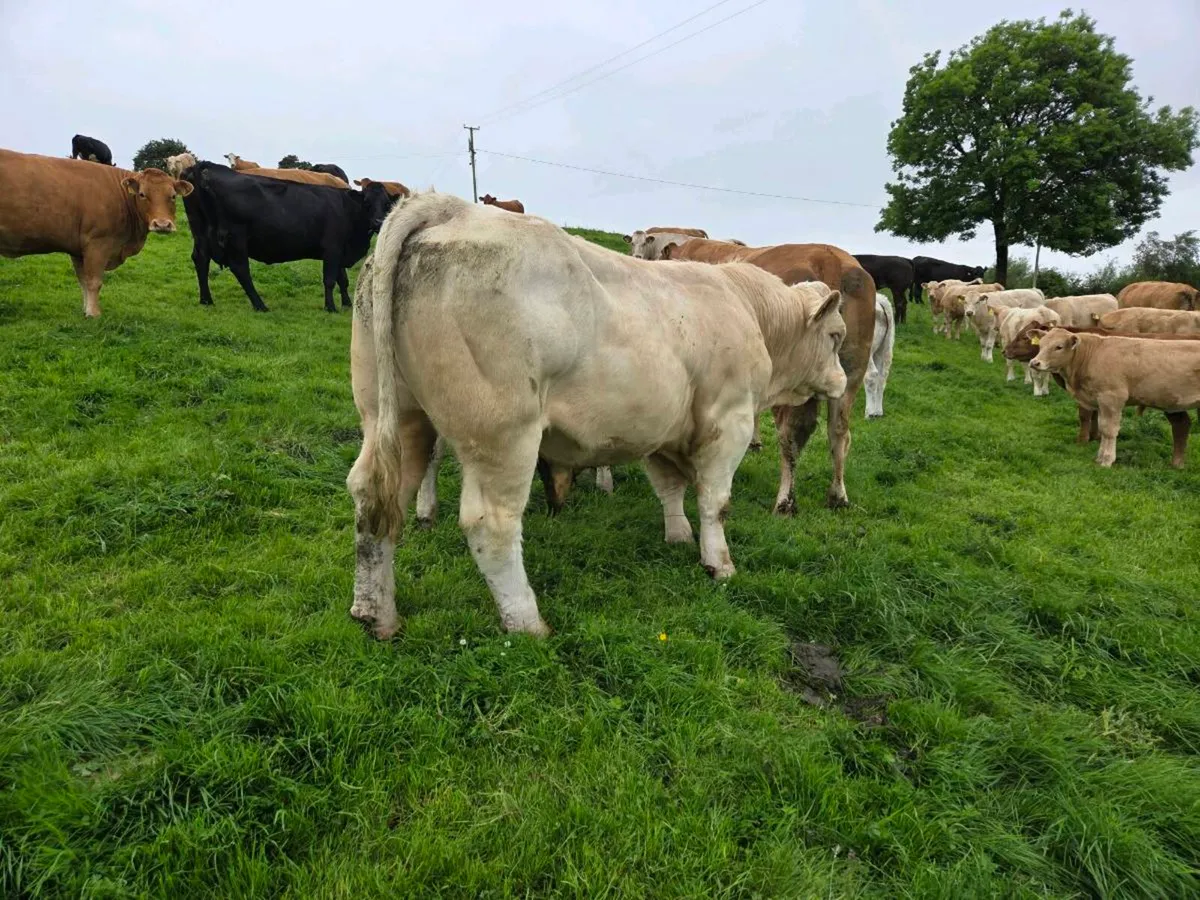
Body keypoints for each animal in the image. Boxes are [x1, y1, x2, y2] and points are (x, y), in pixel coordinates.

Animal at [0, 149, 191, 317]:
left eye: (173, 196)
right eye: (142, 194)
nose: (162, 224)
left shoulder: (78, 250)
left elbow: (83, 281)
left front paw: (86, 310)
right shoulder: (97, 244)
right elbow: (94, 282)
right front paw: (94, 313)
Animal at [180, 161, 378, 313]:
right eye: (367, 203)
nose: (378, 221)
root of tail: (204, 166)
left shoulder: (338, 250)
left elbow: (342, 279)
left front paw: (347, 303)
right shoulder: (333, 249)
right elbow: (331, 279)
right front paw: (332, 308)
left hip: (200, 233)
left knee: (201, 260)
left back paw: (206, 300)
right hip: (235, 238)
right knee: (241, 269)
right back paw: (260, 305)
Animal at [345, 192, 848, 638]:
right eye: (836, 336)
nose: (844, 382)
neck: (748, 310)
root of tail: (450, 208)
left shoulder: (663, 426)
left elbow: (669, 488)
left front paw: (677, 535)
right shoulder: (729, 421)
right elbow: (715, 501)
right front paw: (718, 563)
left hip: (398, 416)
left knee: (376, 499)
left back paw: (376, 614)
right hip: (502, 435)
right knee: (491, 523)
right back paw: (527, 623)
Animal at [659, 238, 875, 512]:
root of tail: (830, 259)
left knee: (790, 437)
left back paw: (785, 502)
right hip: (849, 375)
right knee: (838, 432)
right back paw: (838, 496)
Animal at [1030, 327, 1200, 468]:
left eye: (1058, 347)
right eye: (1041, 345)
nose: (1034, 362)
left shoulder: (1112, 398)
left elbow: (1109, 430)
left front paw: (1107, 460)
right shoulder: (1100, 401)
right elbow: (1102, 427)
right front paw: (1100, 457)